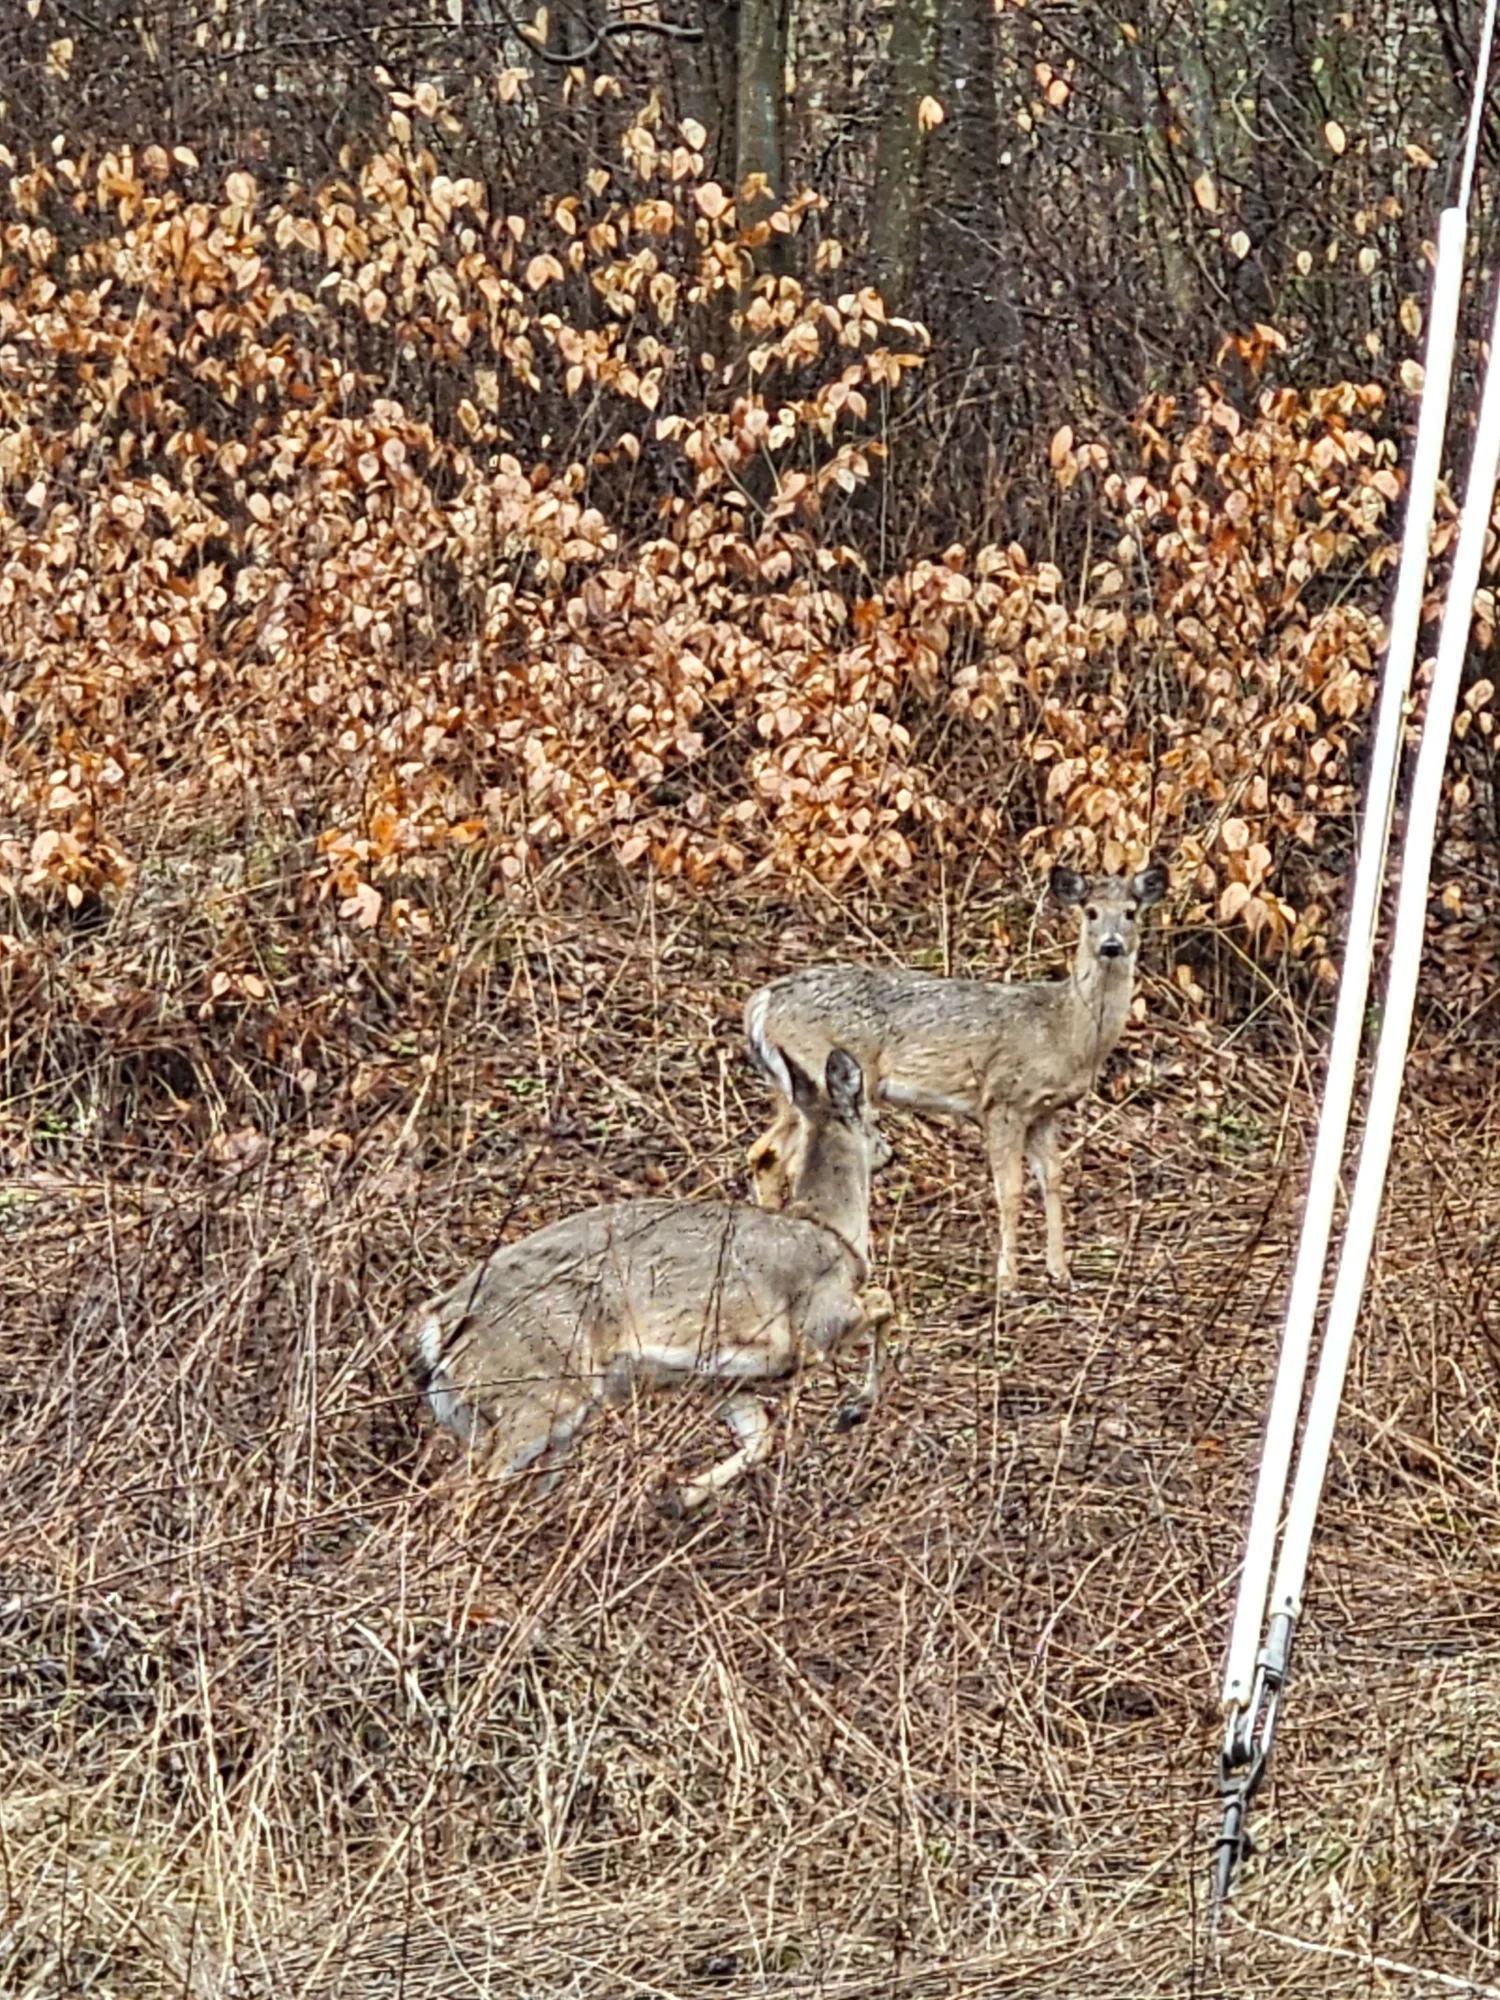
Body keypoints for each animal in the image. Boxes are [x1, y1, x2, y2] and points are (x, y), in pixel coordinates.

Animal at [406, 1047, 894, 1515]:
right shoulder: (815, 1322)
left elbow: (760, 1438)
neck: (829, 1231)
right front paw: (855, 1408)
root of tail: (437, 1325)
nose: (891, 1152)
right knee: (461, 1490)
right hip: (538, 1390)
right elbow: (883, 1304)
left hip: (501, 1415)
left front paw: (680, 1497)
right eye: (874, 1117)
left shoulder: (721, 1381)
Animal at [744, 863, 1168, 1295]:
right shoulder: (1003, 1098)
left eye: (1131, 912)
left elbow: (1052, 1178)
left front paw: (1060, 1272)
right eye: (1091, 912)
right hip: (822, 1070)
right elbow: (1011, 1190)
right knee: (790, 1157)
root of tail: (760, 1003)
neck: (1064, 1031)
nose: (1112, 946)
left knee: (765, 1153)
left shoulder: (1044, 1111)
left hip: (791, 1086)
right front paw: (1007, 1281)